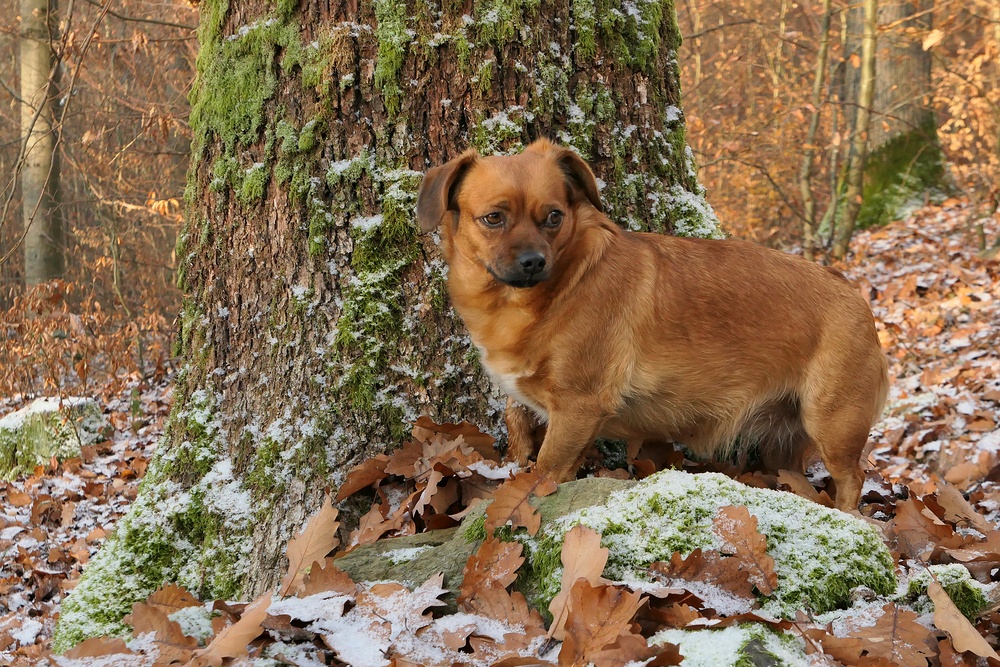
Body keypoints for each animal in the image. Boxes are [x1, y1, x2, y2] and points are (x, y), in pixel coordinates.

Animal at [418, 138, 888, 508]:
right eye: (493, 218)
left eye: (554, 216)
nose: (534, 261)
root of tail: (854, 294)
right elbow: (517, 426)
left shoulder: (576, 408)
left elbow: (547, 470)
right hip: (784, 443)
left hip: (833, 423)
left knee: (852, 479)